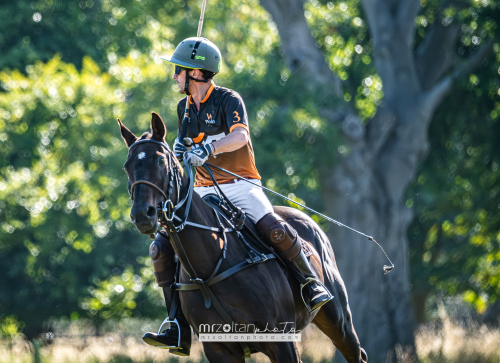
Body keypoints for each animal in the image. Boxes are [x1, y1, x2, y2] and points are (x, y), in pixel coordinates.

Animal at [117, 112, 368, 362]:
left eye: (160, 161)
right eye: (126, 167)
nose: (142, 215)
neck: (209, 271)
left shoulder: (283, 341)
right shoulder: (218, 349)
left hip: (339, 321)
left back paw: (316, 291)